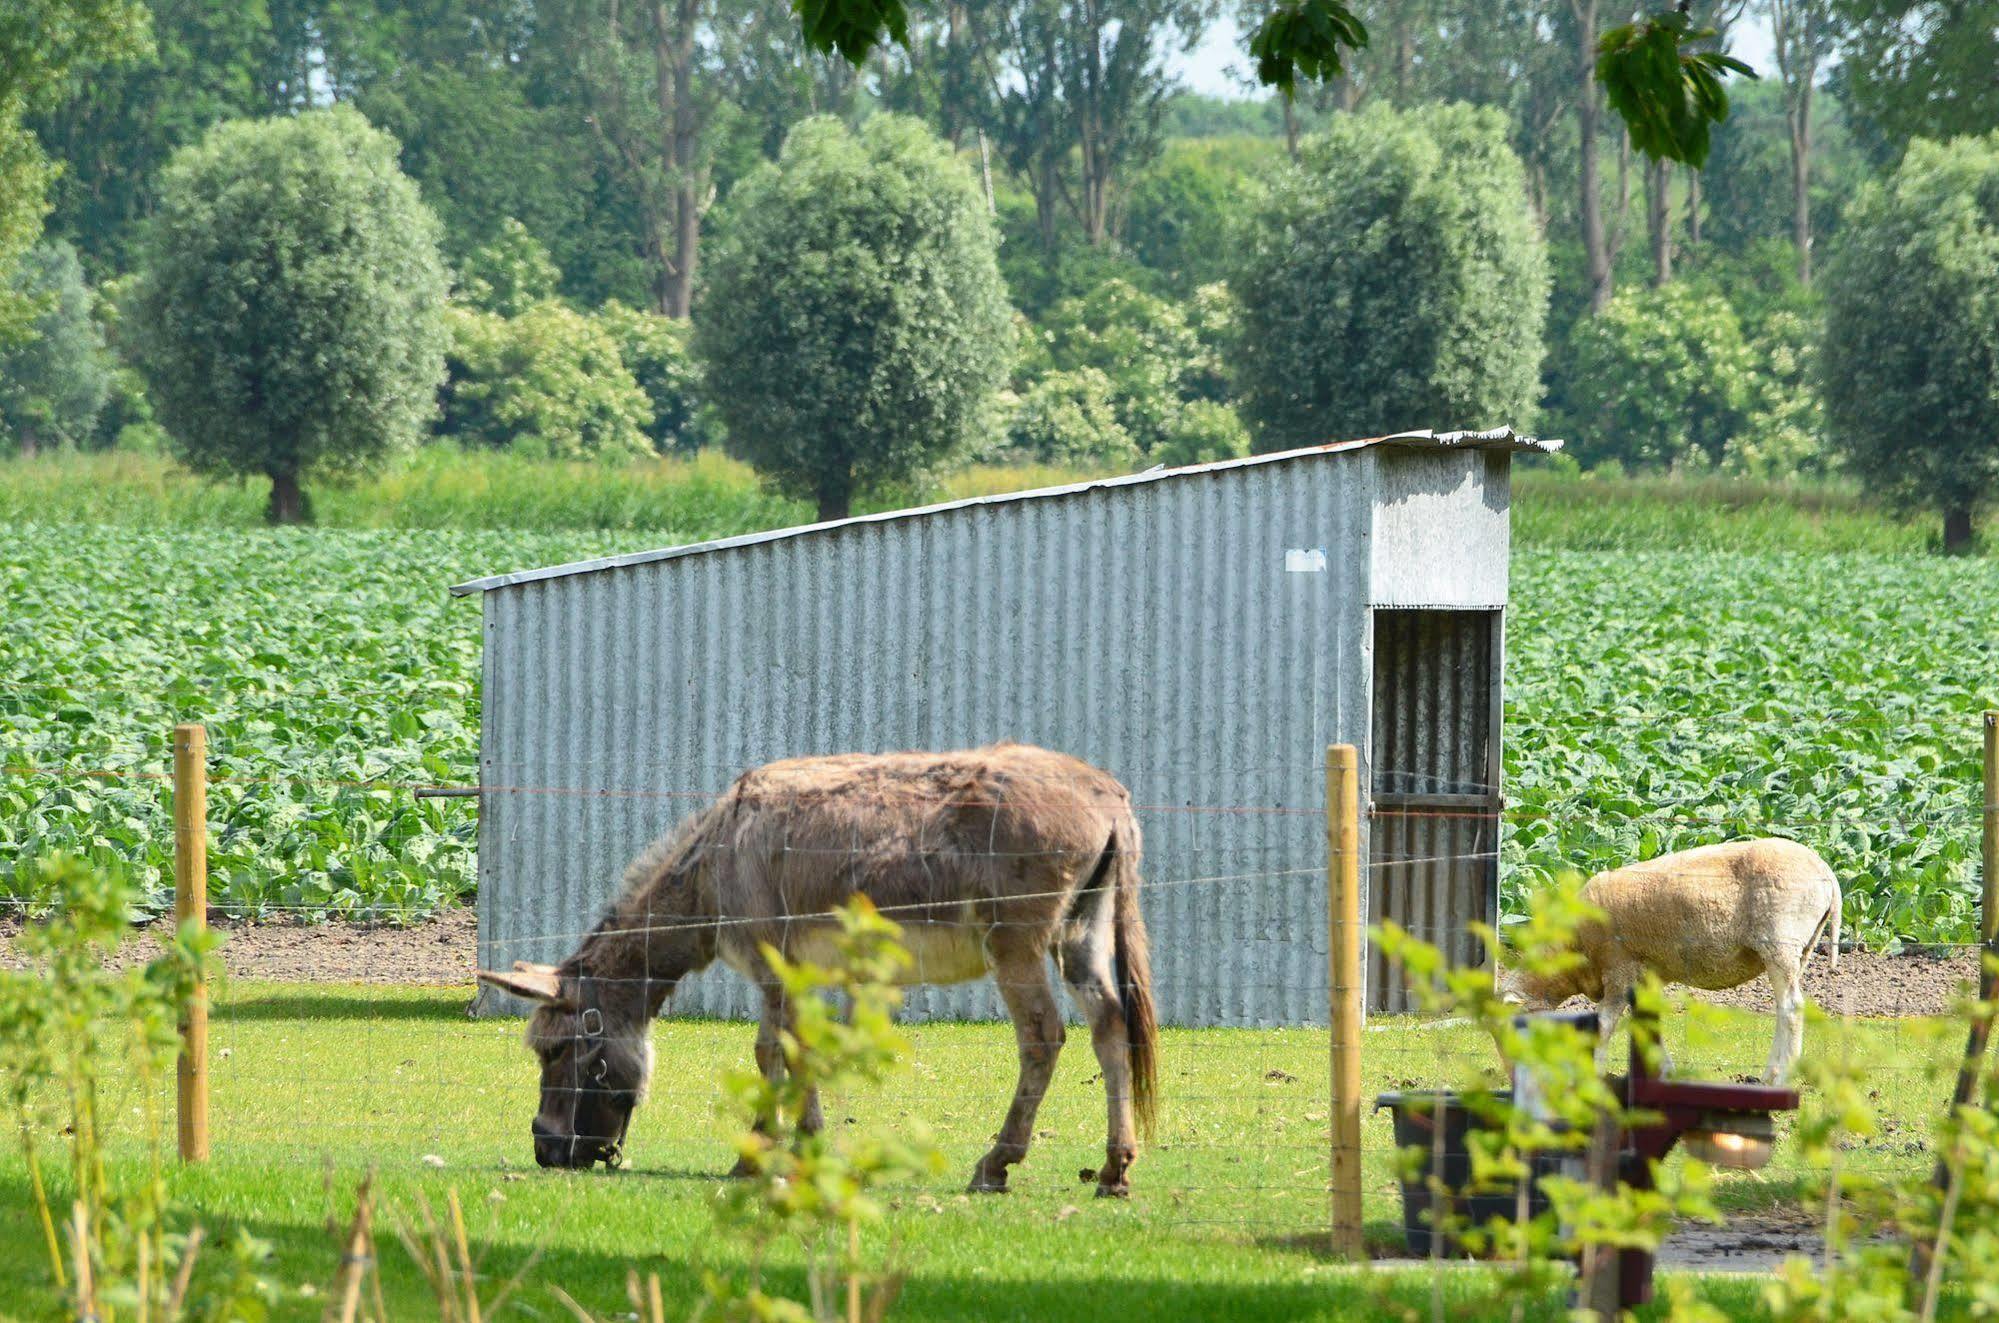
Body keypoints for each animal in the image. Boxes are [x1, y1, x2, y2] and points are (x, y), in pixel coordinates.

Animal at [1503, 839, 1839, 1087]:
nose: (1512, 1077)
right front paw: (1664, 1071)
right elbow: (1646, 1024)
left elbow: (1604, 1024)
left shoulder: (1619, 969)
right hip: (1802, 949)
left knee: (1792, 1008)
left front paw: (1594, 1075)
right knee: (1784, 1008)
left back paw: (1782, 1078)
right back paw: (1769, 1074)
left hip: (1780, 942)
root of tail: (1828, 874)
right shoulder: (1644, 976)